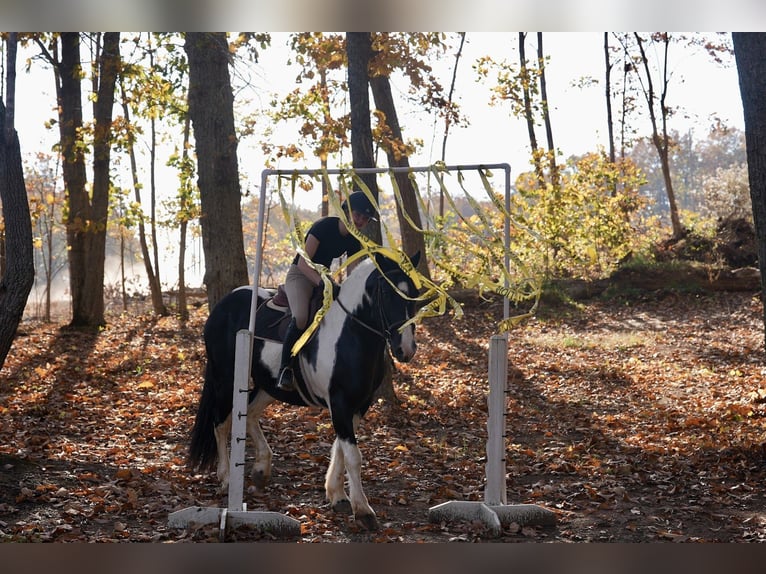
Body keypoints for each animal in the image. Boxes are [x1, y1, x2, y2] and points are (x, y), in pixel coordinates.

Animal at [187, 251, 421, 531]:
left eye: (415, 293)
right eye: (386, 291)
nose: (405, 349)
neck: (351, 334)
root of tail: (223, 305)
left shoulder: (358, 405)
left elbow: (340, 450)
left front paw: (338, 496)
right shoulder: (340, 403)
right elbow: (353, 456)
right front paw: (363, 511)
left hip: (267, 386)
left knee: (250, 414)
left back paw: (261, 469)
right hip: (225, 379)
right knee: (221, 423)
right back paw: (225, 478)